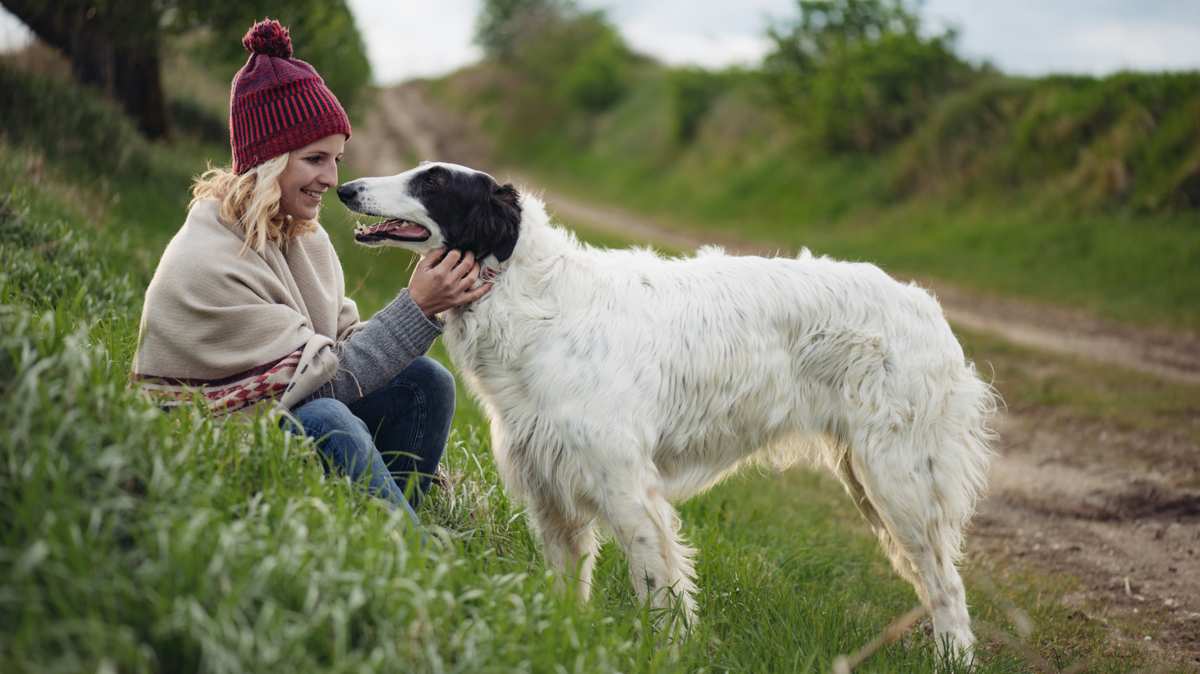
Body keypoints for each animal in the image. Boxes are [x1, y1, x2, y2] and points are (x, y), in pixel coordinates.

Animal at [336, 159, 993, 652]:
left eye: (433, 182)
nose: (346, 189)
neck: (536, 300)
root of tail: (925, 306)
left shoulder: (627, 490)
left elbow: (658, 589)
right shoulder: (551, 491)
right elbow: (567, 589)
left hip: (898, 481)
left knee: (949, 589)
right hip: (871, 479)